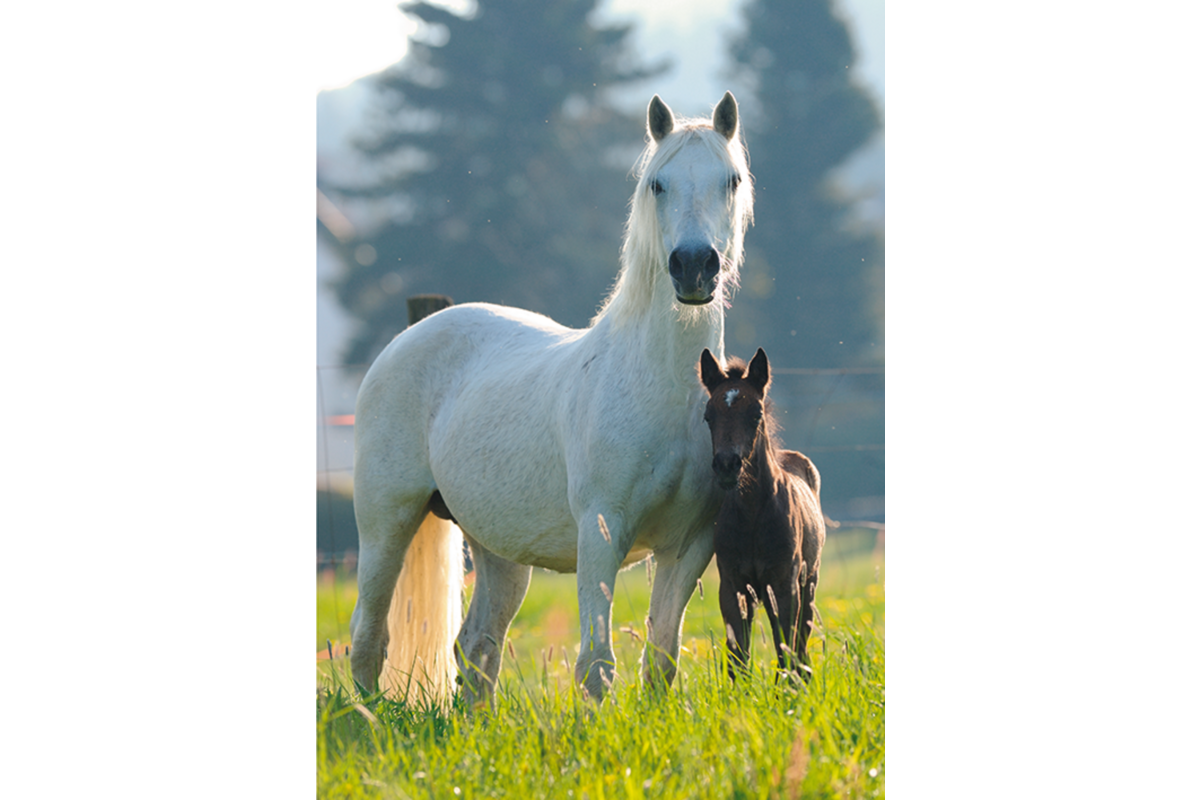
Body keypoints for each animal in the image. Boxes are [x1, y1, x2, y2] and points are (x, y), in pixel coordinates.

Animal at [348, 92, 754, 705]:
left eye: (730, 180)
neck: (658, 387)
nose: (693, 266)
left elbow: (661, 659)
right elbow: (597, 665)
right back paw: (372, 718)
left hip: (496, 548)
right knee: (369, 640)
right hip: (385, 524)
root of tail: (405, 340)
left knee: (476, 647)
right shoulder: (602, 532)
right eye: (657, 184)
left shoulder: (689, 544)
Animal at [697, 347, 826, 682]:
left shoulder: (784, 584)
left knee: (800, 642)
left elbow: (787, 648)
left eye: (756, 414)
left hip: (808, 583)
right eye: (708, 416)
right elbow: (737, 658)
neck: (752, 515)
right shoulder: (733, 587)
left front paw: (789, 690)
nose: (727, 466)